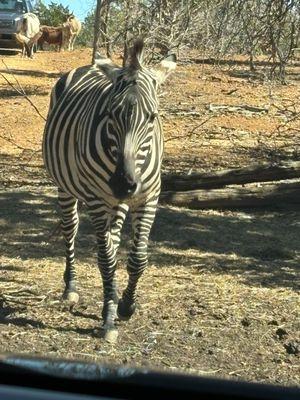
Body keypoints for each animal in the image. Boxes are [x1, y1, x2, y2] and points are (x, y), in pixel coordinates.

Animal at [43, 39, 177, 340]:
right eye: (109, 114)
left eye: (152, 117)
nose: (123, 183)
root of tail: (89, 65)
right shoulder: (96, 199)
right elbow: (105, 258)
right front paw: (109, 318)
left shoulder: (148, 197)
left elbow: (138, 258)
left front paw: (125, 305)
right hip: (67, 188)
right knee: (71, 229)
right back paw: (71, 287)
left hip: (119, 202)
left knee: (114, 241)